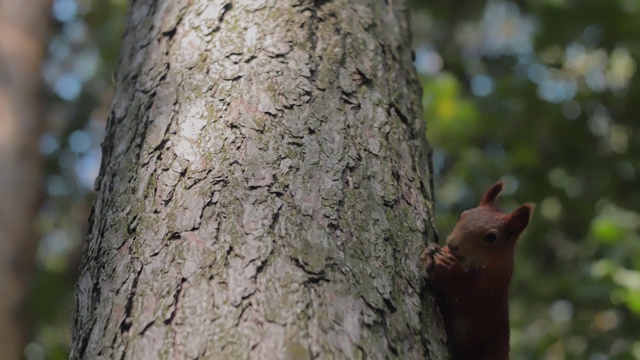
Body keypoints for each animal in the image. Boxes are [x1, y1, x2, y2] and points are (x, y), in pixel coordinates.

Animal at [422, 181, 532, 360]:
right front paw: (431, 250)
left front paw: (447, 268)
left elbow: (465, 297)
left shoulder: (489, 292)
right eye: (461, 215)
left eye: (491, 238)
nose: (453, 244)